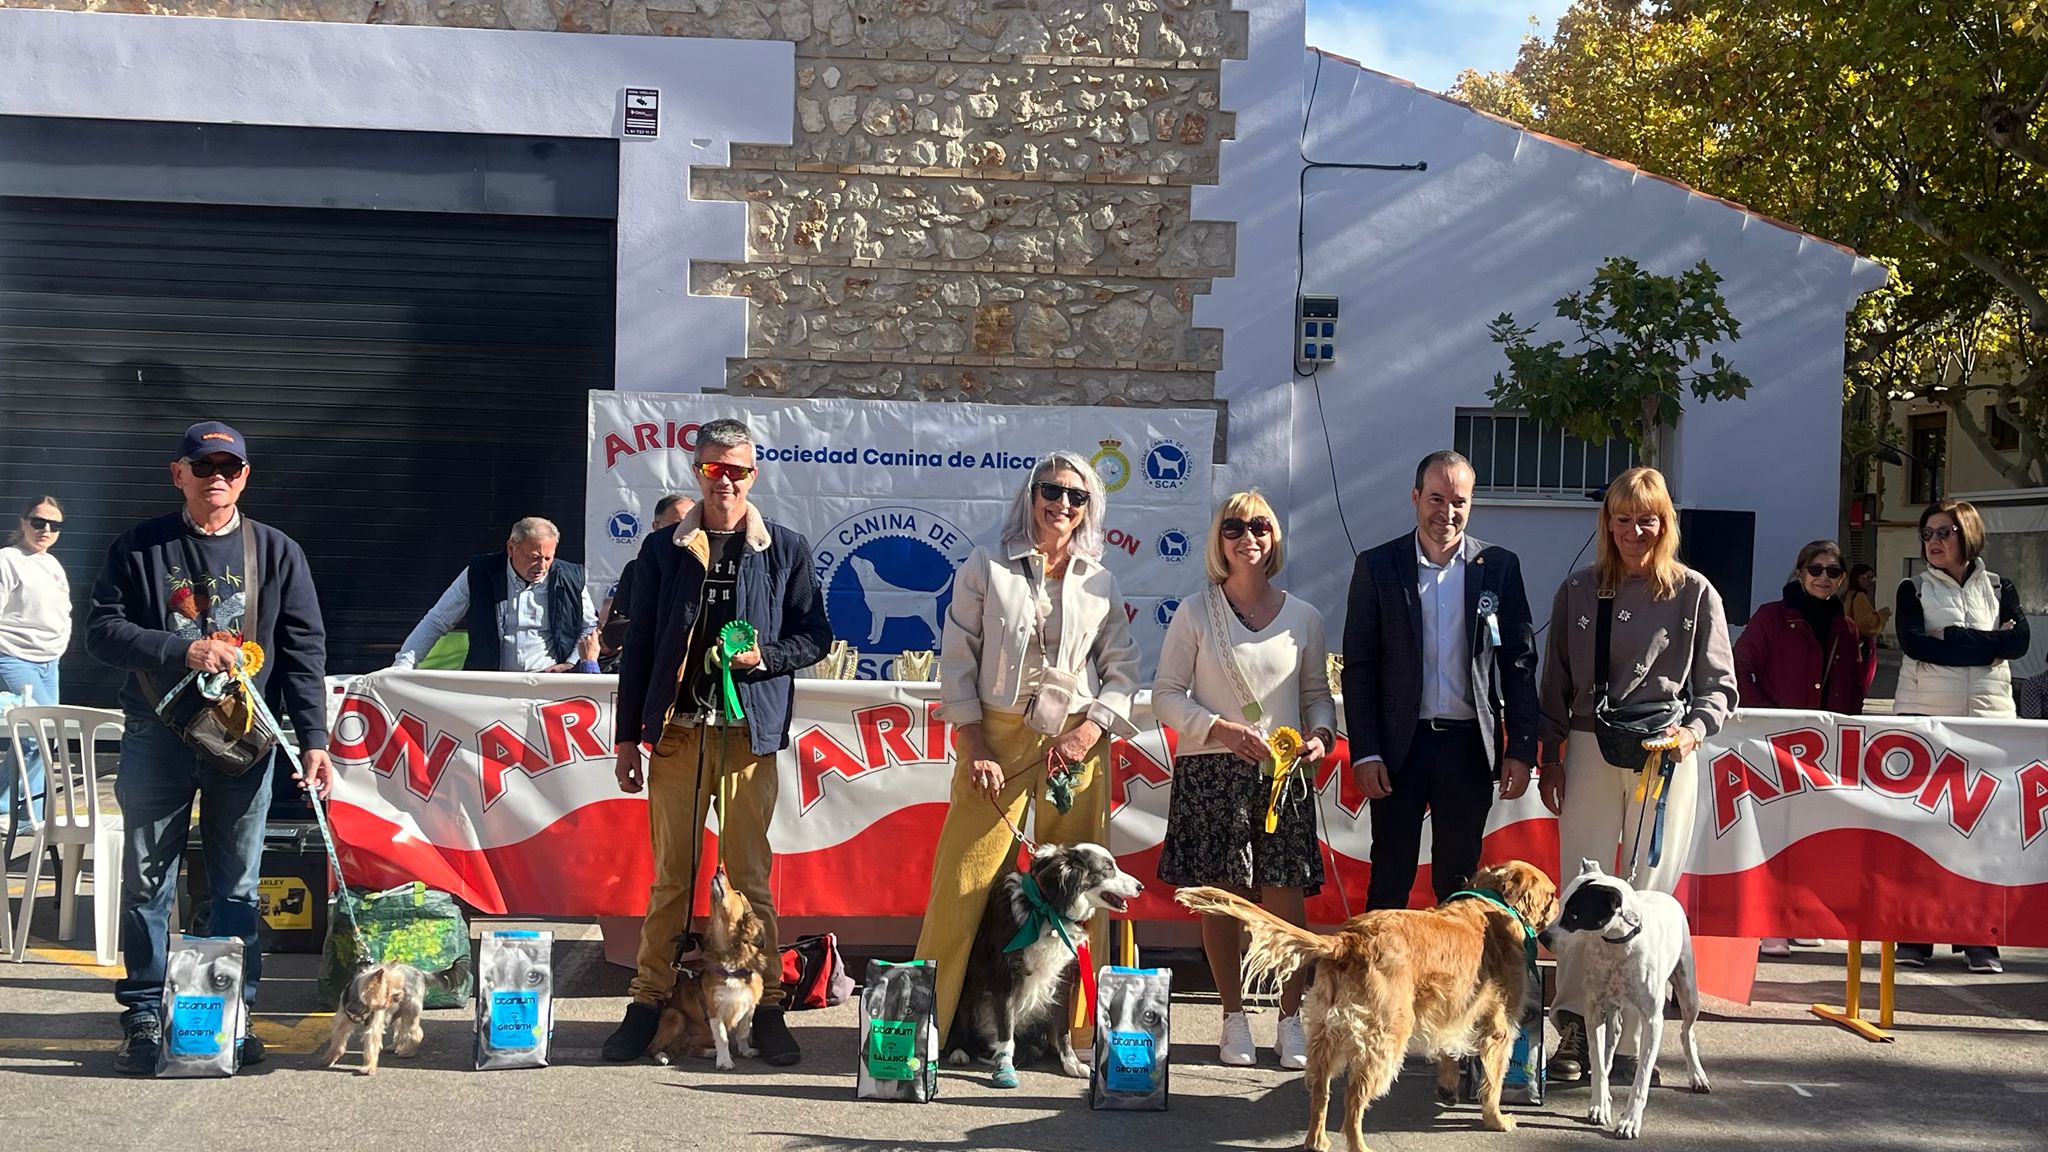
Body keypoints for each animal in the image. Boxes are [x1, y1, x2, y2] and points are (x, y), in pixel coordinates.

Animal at [650, 869, 772, 1070]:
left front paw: (745, 1051)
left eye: (738, 893)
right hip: (676, 1015)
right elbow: (722, 1037)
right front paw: (725, 1061)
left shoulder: (748, 1007)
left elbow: (743, 1033)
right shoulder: (715, 1010)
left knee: (692, 1049)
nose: (719, 869)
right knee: (653, 1047)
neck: (731, 962)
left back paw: (710, 1052)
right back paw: (662, 1056)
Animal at [948, 842, 1143, 1085]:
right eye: (1107, 869)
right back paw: (958, 1051)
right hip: (969, 987)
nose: (1141, 887)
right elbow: (1006, 1029)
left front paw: (1071, 1063)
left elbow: (1063, 1029)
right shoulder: (1005, 977)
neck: (1048, 911)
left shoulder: (1062, 978)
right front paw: (1004, 1068)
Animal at [1178, 860, 1559, 1152]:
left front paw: (1449, 1086)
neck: (1491, 905)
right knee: (1352, 1102)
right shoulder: (1498, 1029)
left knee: (1321, 1093)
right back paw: (1358, 1146)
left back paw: (1316, 1142)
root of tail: (1349, 940)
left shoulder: (1450, 1012)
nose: (1558, 912)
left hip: (1325, 1037)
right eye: (1553, 894)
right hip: (1385, 1040)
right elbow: (1493, 1083)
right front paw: (1496, 1118)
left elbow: (1447, 1050)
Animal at [1540, 859, 1709, 1139]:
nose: (1543, 937)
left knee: (1687, 1032)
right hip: (1613, 1010)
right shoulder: (1594, 1013)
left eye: (1574, 915)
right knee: (1612, 1042)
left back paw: (1697, 1075)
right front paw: (1599, 1105)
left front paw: (1630, 1121)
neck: (1616, 946)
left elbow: (1641, 1081)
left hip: (1688, 993)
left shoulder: (1652, 1021)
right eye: (1560, 905)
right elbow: (1598, 1065)